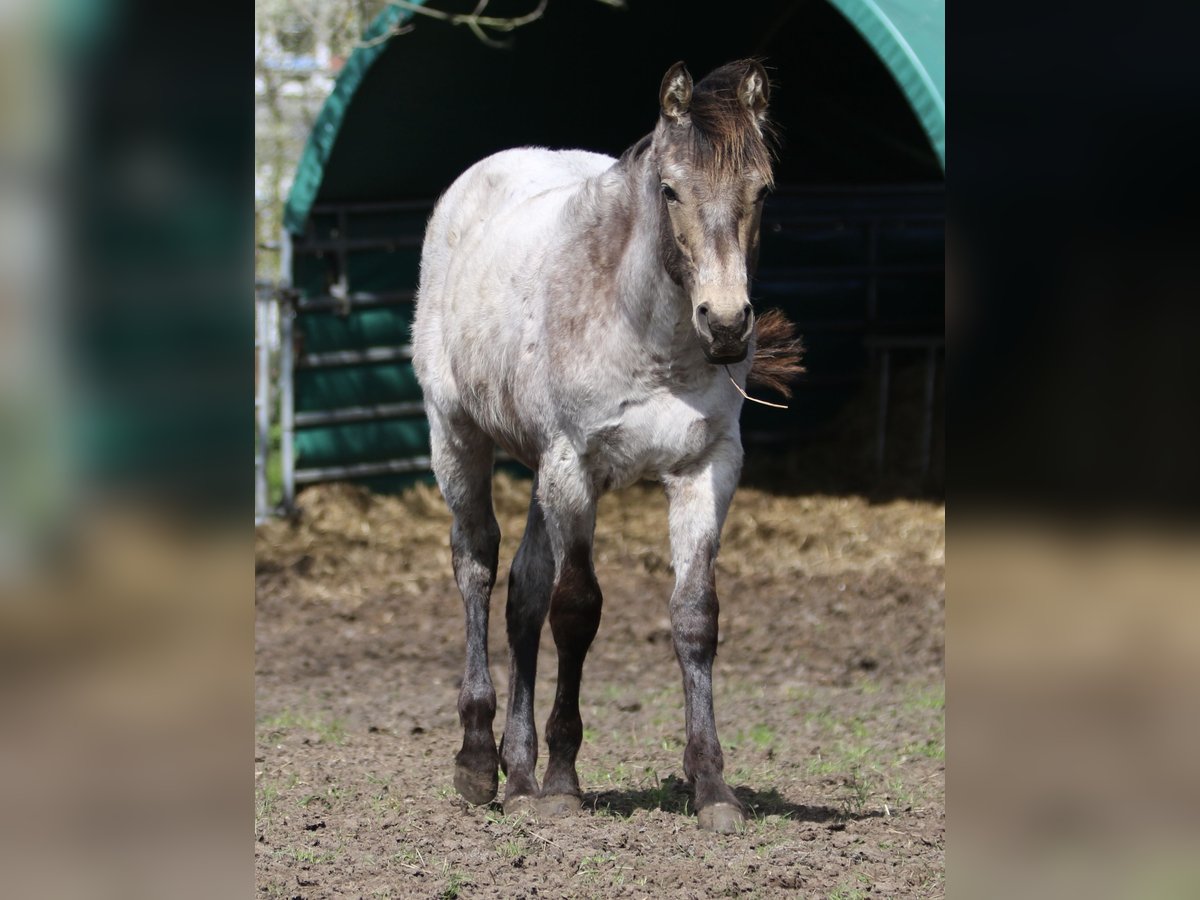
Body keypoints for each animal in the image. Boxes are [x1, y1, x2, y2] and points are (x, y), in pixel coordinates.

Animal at [417, 60, 801, 835]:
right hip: (459, 437)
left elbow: (694, 615)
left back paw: (519, 774)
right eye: (671, 189)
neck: (651, 335)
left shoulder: (707, 468)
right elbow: (578, 609)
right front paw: (565, 781)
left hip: (537, 469)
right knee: (477, 568)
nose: (726, 324)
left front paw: (713, 789)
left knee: (522, 595)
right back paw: (478, 762)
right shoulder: (575, 466)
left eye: (763, 189)